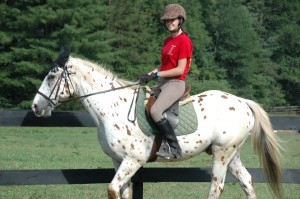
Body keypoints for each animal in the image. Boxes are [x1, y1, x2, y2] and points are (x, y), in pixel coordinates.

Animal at [31, 48, 282, 199]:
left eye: (51, 76)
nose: (35, 106)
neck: (112, 107)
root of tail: (242, 102)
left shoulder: (133, 160)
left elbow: (112, 190)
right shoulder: (118, 161)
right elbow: (122, 192)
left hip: (222, 152)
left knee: (216, 187)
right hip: (232, 153)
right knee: (247, 181)